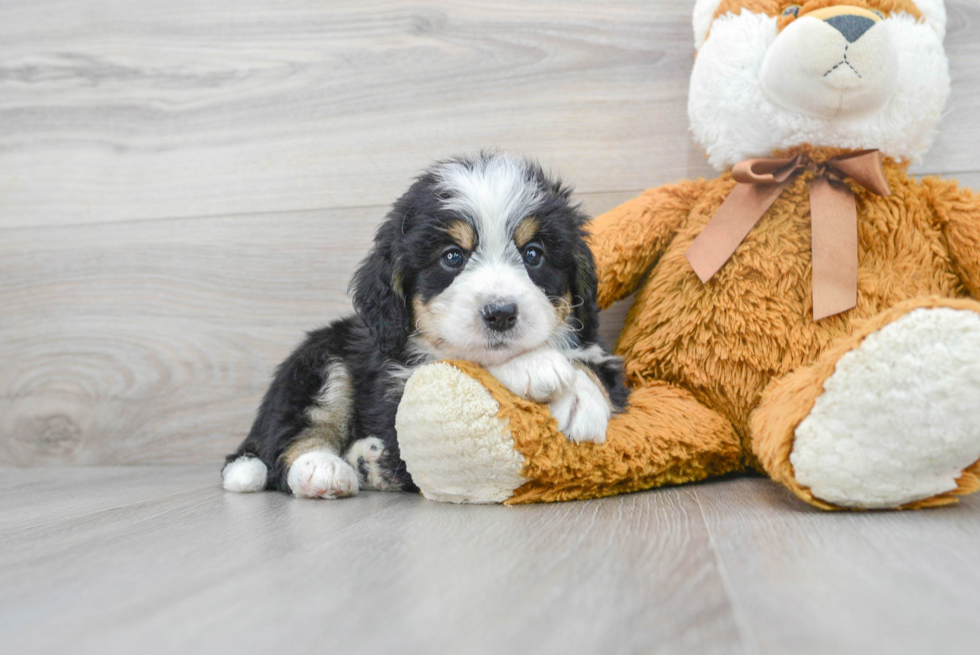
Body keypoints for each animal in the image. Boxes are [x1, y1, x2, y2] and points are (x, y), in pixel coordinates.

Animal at [222, 154, 628, 500]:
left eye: (533, 254)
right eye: (452, 257)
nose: (500, 314)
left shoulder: (602, 356)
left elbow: (593, 367)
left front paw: (580, 398)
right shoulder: (398, 390)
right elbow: (463, 364)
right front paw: (536, 366)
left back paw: (367, 462)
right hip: (321, 364)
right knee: (288, 441)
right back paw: (323, 468)